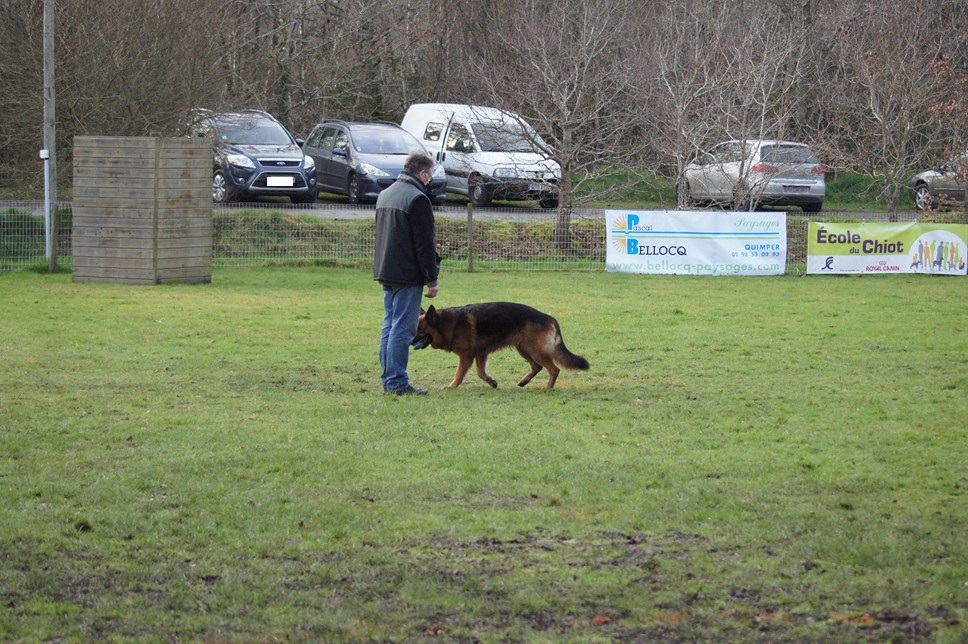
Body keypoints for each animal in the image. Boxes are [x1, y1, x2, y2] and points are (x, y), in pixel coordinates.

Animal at [410, 300, 588, 388]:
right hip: (524, 349)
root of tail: (549, 318)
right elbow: (481, 373)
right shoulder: (481, 354)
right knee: (537, 367)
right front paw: (491, 382)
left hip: (535, 351)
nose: (410, 342)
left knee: (554, 369)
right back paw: (524, 382)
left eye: (420, 330)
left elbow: (459, 374)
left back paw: (548, 388)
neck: (446, 324)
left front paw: (451, 386)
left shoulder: (466, 356)